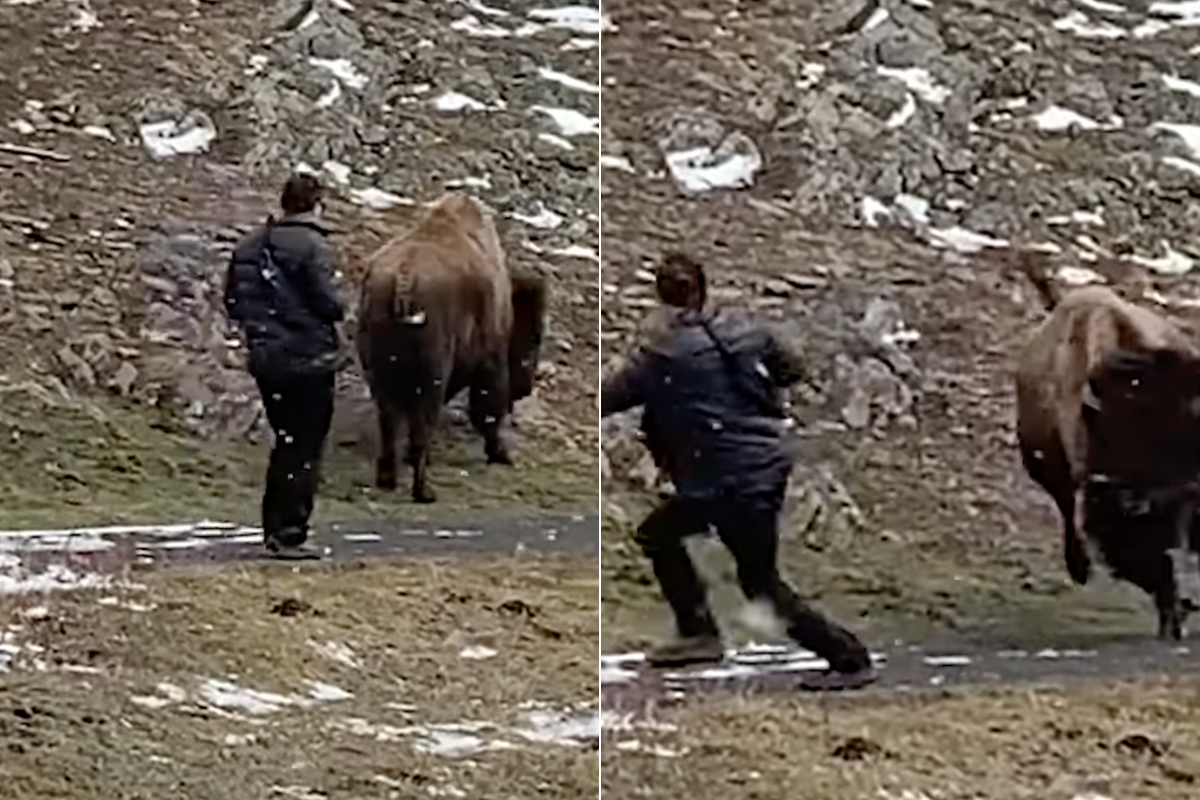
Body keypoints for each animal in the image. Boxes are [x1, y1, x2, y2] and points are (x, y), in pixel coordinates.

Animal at [352, 191, 547, 503]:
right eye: (533, 337)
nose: (524, 389)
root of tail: (403, 280)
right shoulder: (490, 359)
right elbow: (487, 407)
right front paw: (500, 454)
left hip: (380, 372)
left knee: (390, 421)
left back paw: (388, 478)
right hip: (432, 374)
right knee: (421, 425)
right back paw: (424, 490)